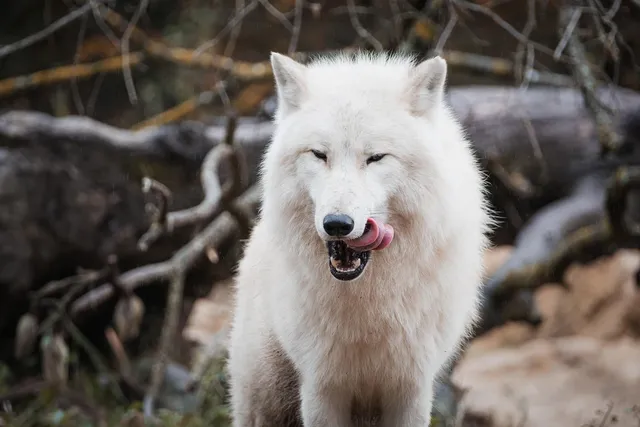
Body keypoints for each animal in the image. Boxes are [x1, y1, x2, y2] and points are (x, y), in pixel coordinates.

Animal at [226, 51, 492, 427]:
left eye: (375, 157)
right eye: (319, 155)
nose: (337, 223)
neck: (367, 304)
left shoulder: (410, 388)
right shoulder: (322, 388)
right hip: (265, 399)